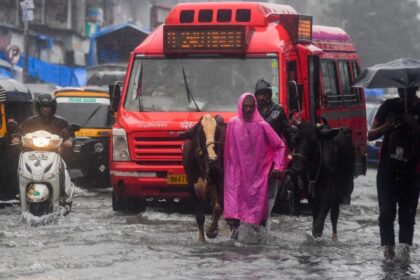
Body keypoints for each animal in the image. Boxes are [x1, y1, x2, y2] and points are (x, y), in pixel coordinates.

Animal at [181, 114, 226, 243]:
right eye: (201, 132)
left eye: (218, 132)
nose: (213, 159)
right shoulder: (193, 186)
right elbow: (200, 216)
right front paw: (201, 240)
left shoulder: (221, 182)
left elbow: (218, 208)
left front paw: (211, 231)